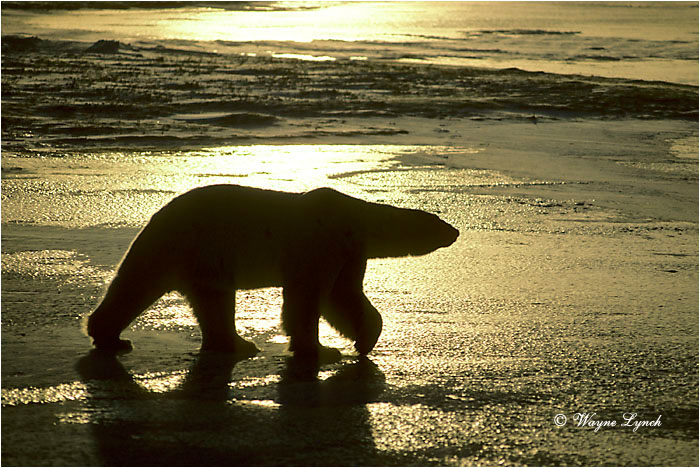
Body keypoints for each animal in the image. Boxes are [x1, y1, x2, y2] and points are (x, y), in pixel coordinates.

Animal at [86, 184, 459, 360]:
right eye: (440, 221)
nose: (455, 231)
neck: (355, 219)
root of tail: (156, 216)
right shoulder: (320, 243)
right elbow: (309, 297)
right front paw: (320, 349)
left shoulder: (349, 252)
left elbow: (344, 296)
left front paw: (364, 338)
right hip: (183, 243)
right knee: (137, 283)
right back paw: (110, 336)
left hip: (206, 262)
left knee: (213, 302)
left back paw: (236, 344)